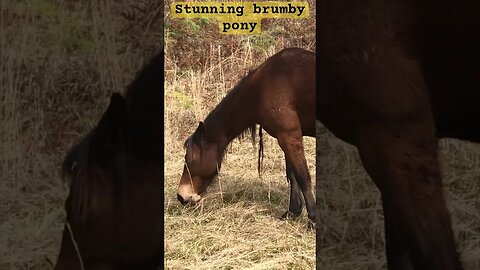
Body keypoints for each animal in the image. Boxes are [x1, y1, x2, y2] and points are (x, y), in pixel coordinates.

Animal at [175, 47, 316, 227]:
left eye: (190, 158)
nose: (182, 196)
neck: (262, 87)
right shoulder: (286, 136)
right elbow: (292, 175)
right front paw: (293, 211)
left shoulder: (289, 136)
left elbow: (303, 177)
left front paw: (313, 219)